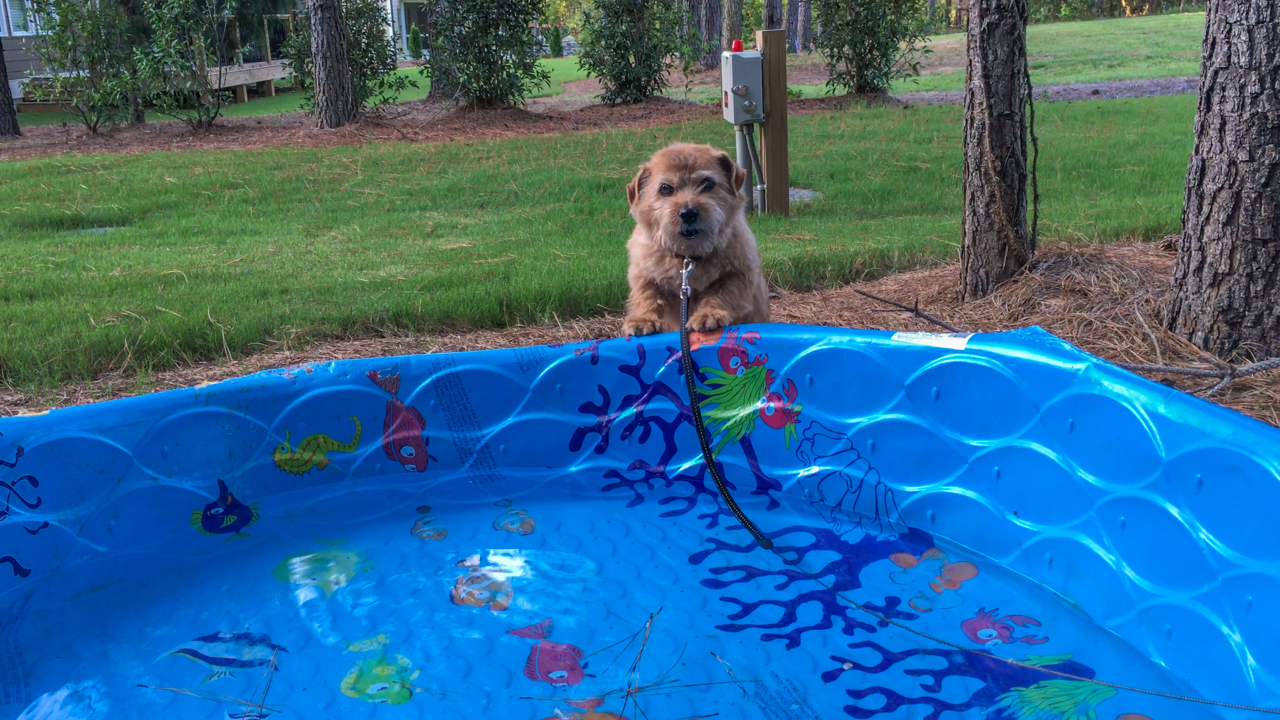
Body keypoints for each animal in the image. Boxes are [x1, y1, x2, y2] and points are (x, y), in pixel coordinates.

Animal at [622, 144, 768, 335]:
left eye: (707, 183)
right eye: (665, 188)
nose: (689, 213)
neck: (688, 255)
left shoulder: (739, 272)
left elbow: (723, 292)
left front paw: (709, 314)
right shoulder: (644, 273)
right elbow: (647, 294)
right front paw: (643, 318)